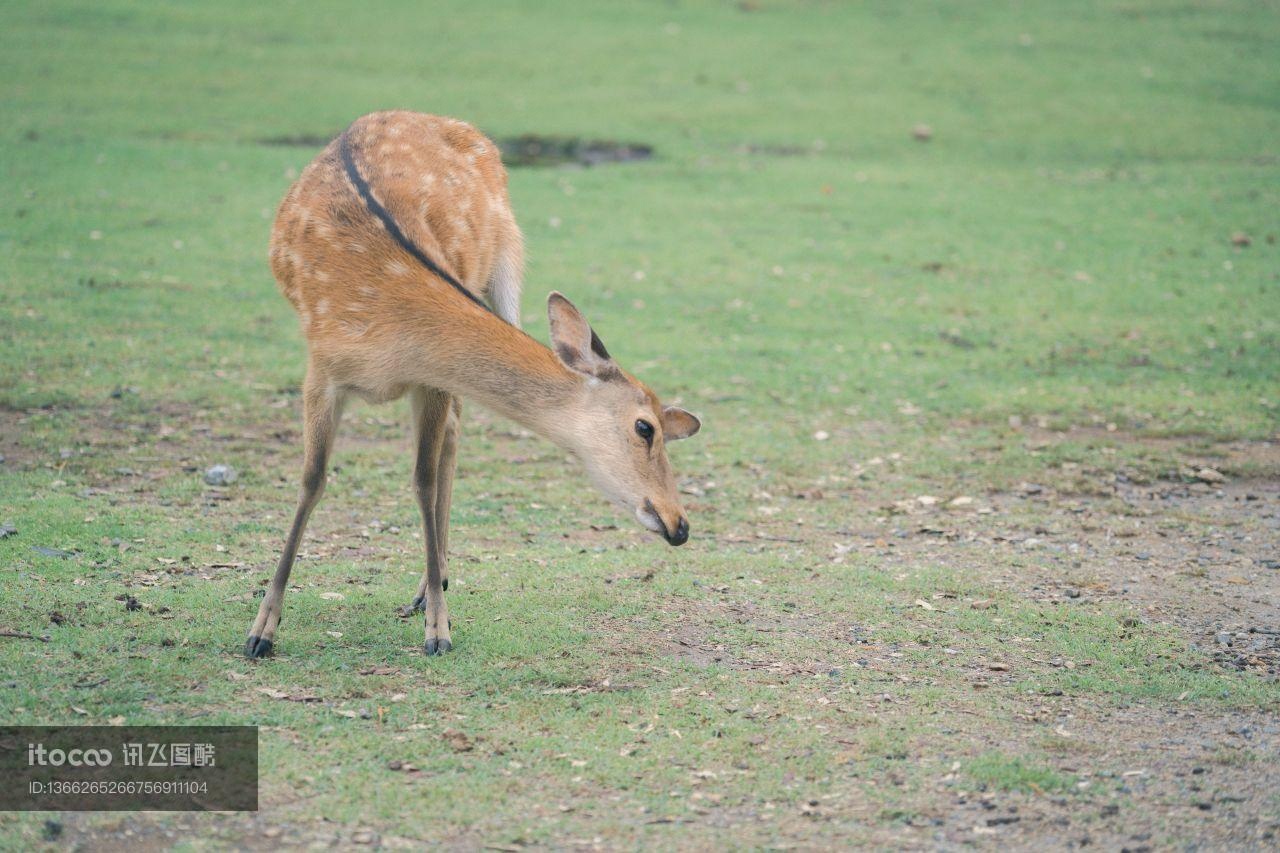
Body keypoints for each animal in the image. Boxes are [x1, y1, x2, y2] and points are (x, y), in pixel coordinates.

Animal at [240, 111, 701, 655]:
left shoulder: (430, 380)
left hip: (506, 266)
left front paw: (438, 627)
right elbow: (312, 481)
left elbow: (423, 478)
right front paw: (261, 630)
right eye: (645, 427)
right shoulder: (322, 369)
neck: (388, 330)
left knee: (454, 438)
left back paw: (431, 582)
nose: (680, 524)